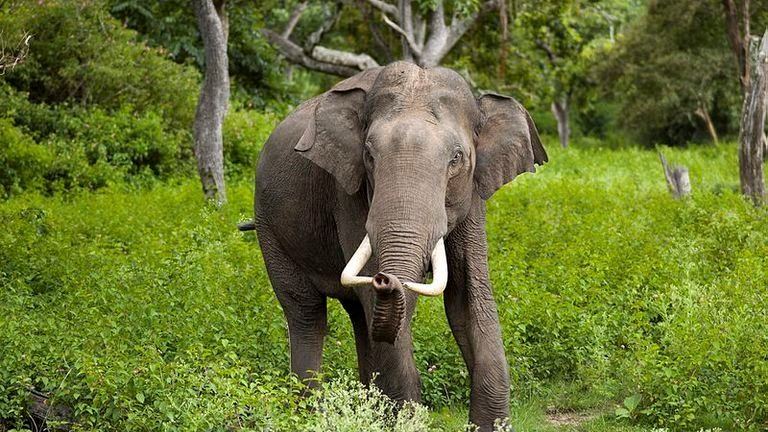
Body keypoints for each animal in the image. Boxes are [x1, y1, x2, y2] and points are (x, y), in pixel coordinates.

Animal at [246, 61, 544, 432]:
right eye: (369, 155)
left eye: (456, 158)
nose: (386, 279)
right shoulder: (348, 192)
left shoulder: (474, 195)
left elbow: (468, 297)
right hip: (269, 228)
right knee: (306, 313)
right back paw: (309, 415)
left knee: (359, 317)